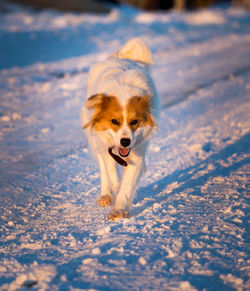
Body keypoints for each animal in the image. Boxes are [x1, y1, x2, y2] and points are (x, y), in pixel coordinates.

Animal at [82, 38, 160, 221]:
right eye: (114, 121)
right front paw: (114, 193)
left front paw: (119, 209)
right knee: (103, 168)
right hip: (95, 141)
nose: (125, 141)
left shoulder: (138, 151)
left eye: (135, 121)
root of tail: (117, 56)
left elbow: (127, 183)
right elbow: (111, 173)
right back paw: (105, 194)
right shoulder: (105, 146)